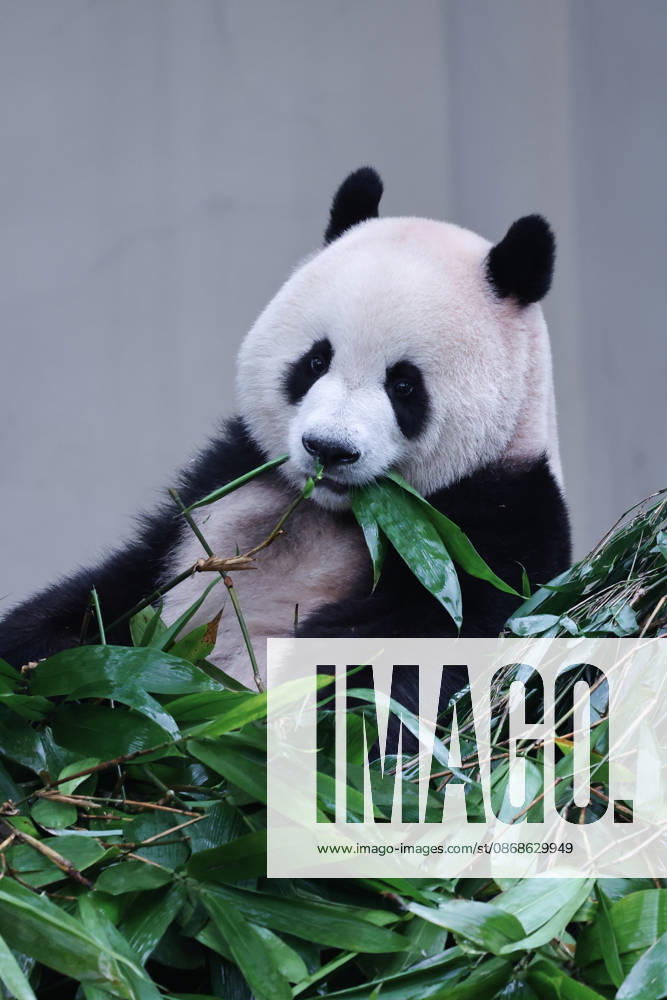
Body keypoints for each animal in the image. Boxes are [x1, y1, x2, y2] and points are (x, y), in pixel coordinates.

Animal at [0, 167, 571, 700]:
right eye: (315, 361)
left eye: (405, 385)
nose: (329, 450)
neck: (333, 509)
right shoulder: (219, 482)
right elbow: (103, 596)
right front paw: (73, 667)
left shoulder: (491, 526)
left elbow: (401, 656)